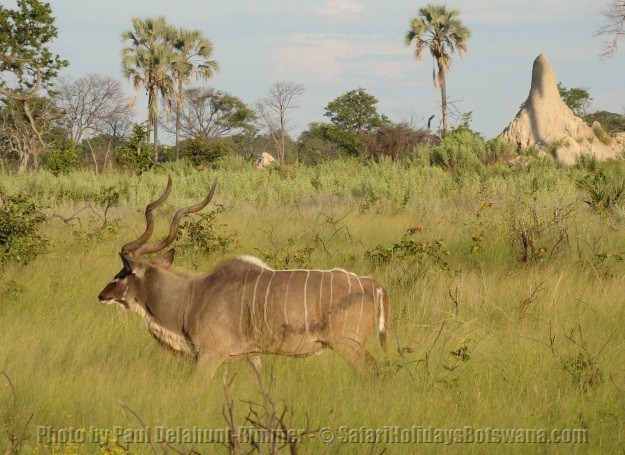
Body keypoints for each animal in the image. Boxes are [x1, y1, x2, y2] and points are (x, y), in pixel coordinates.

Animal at [98, 176, 388, 380]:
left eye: (124, 272)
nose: (102, 295)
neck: (191, 296)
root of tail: (372, 285)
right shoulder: (251, 356)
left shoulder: (209, 356)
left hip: (349, 347)